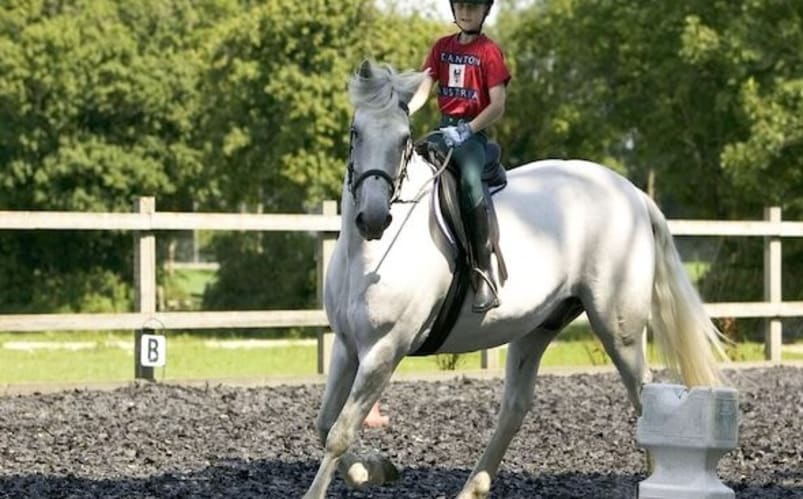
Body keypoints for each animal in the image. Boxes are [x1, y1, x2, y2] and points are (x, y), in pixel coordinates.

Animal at [302, 61, 728, 499]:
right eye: (356, 132)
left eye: (404, 139)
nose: (372, 218)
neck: (368, 253)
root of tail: (633, 193)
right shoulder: (348, 346)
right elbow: (325, 422)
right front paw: (371, 468)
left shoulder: (385, 349)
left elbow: (340, 432)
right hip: (538, 325)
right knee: (516, 406)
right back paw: (472, 488)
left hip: (617, 327)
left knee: (642, 396)